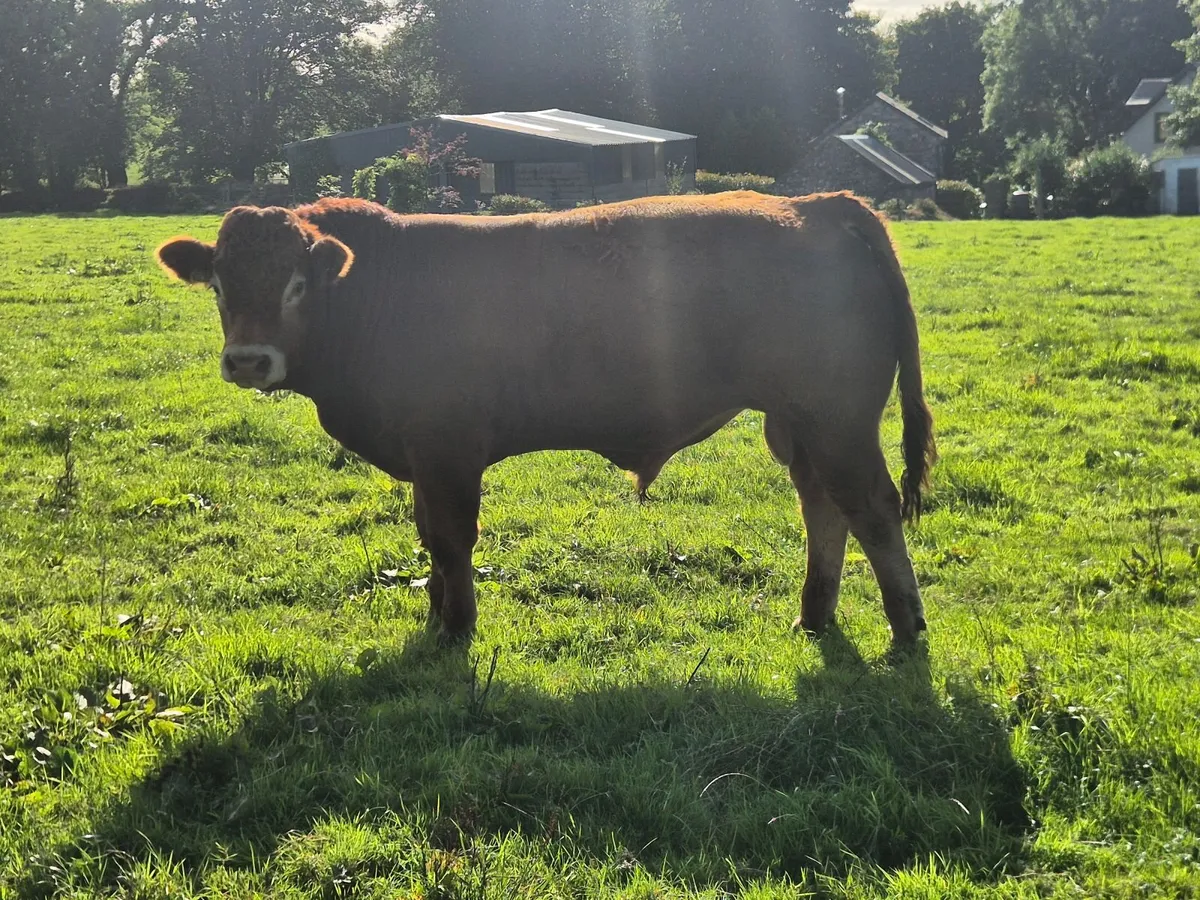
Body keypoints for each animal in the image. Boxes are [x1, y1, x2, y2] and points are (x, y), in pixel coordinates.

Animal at [155, 191, 936, 650]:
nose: (248, 360)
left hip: (838, 420)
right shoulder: (422, 454)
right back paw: (814, 614)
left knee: (871, 509)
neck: (374, 289)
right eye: (218, 283)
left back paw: (905, 629)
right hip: (801, 425)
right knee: (823, 507)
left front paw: (456, 627)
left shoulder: (448, 450)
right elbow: (428, 539)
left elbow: (452, 539)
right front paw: (434, 614)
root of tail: (812, 203)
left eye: (294, 283)